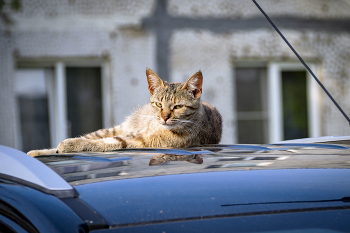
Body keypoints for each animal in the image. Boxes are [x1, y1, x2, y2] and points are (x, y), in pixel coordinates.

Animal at [28, 68, 223, 157]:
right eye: (159, 104)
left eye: (177, 107)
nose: (164, 117)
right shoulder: (131, 133)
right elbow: (95, 139)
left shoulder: (140, 140)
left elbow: (108, 143)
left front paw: (70, 145)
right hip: (120, 127)